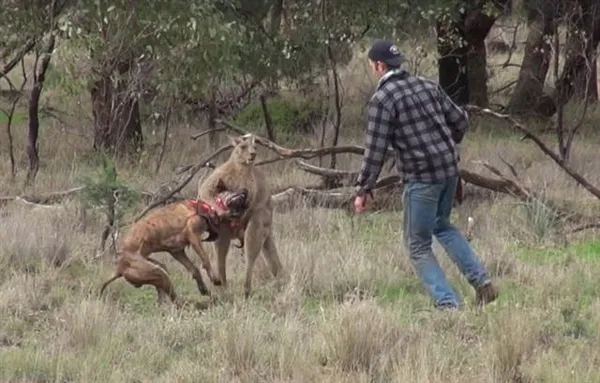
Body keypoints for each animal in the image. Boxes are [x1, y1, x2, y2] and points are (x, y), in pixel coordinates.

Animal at [100, 189, 248, 306]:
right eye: (230, 191)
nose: (245, 190)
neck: (207, 207)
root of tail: (119, 268)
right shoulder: (193, 235)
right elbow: (205, 260)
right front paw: (215, 279)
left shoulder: (177, 251)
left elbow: (194, 270)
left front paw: (203, 289)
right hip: (157, 272)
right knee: (174, 297)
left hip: (158, 269)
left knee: (164, 293)